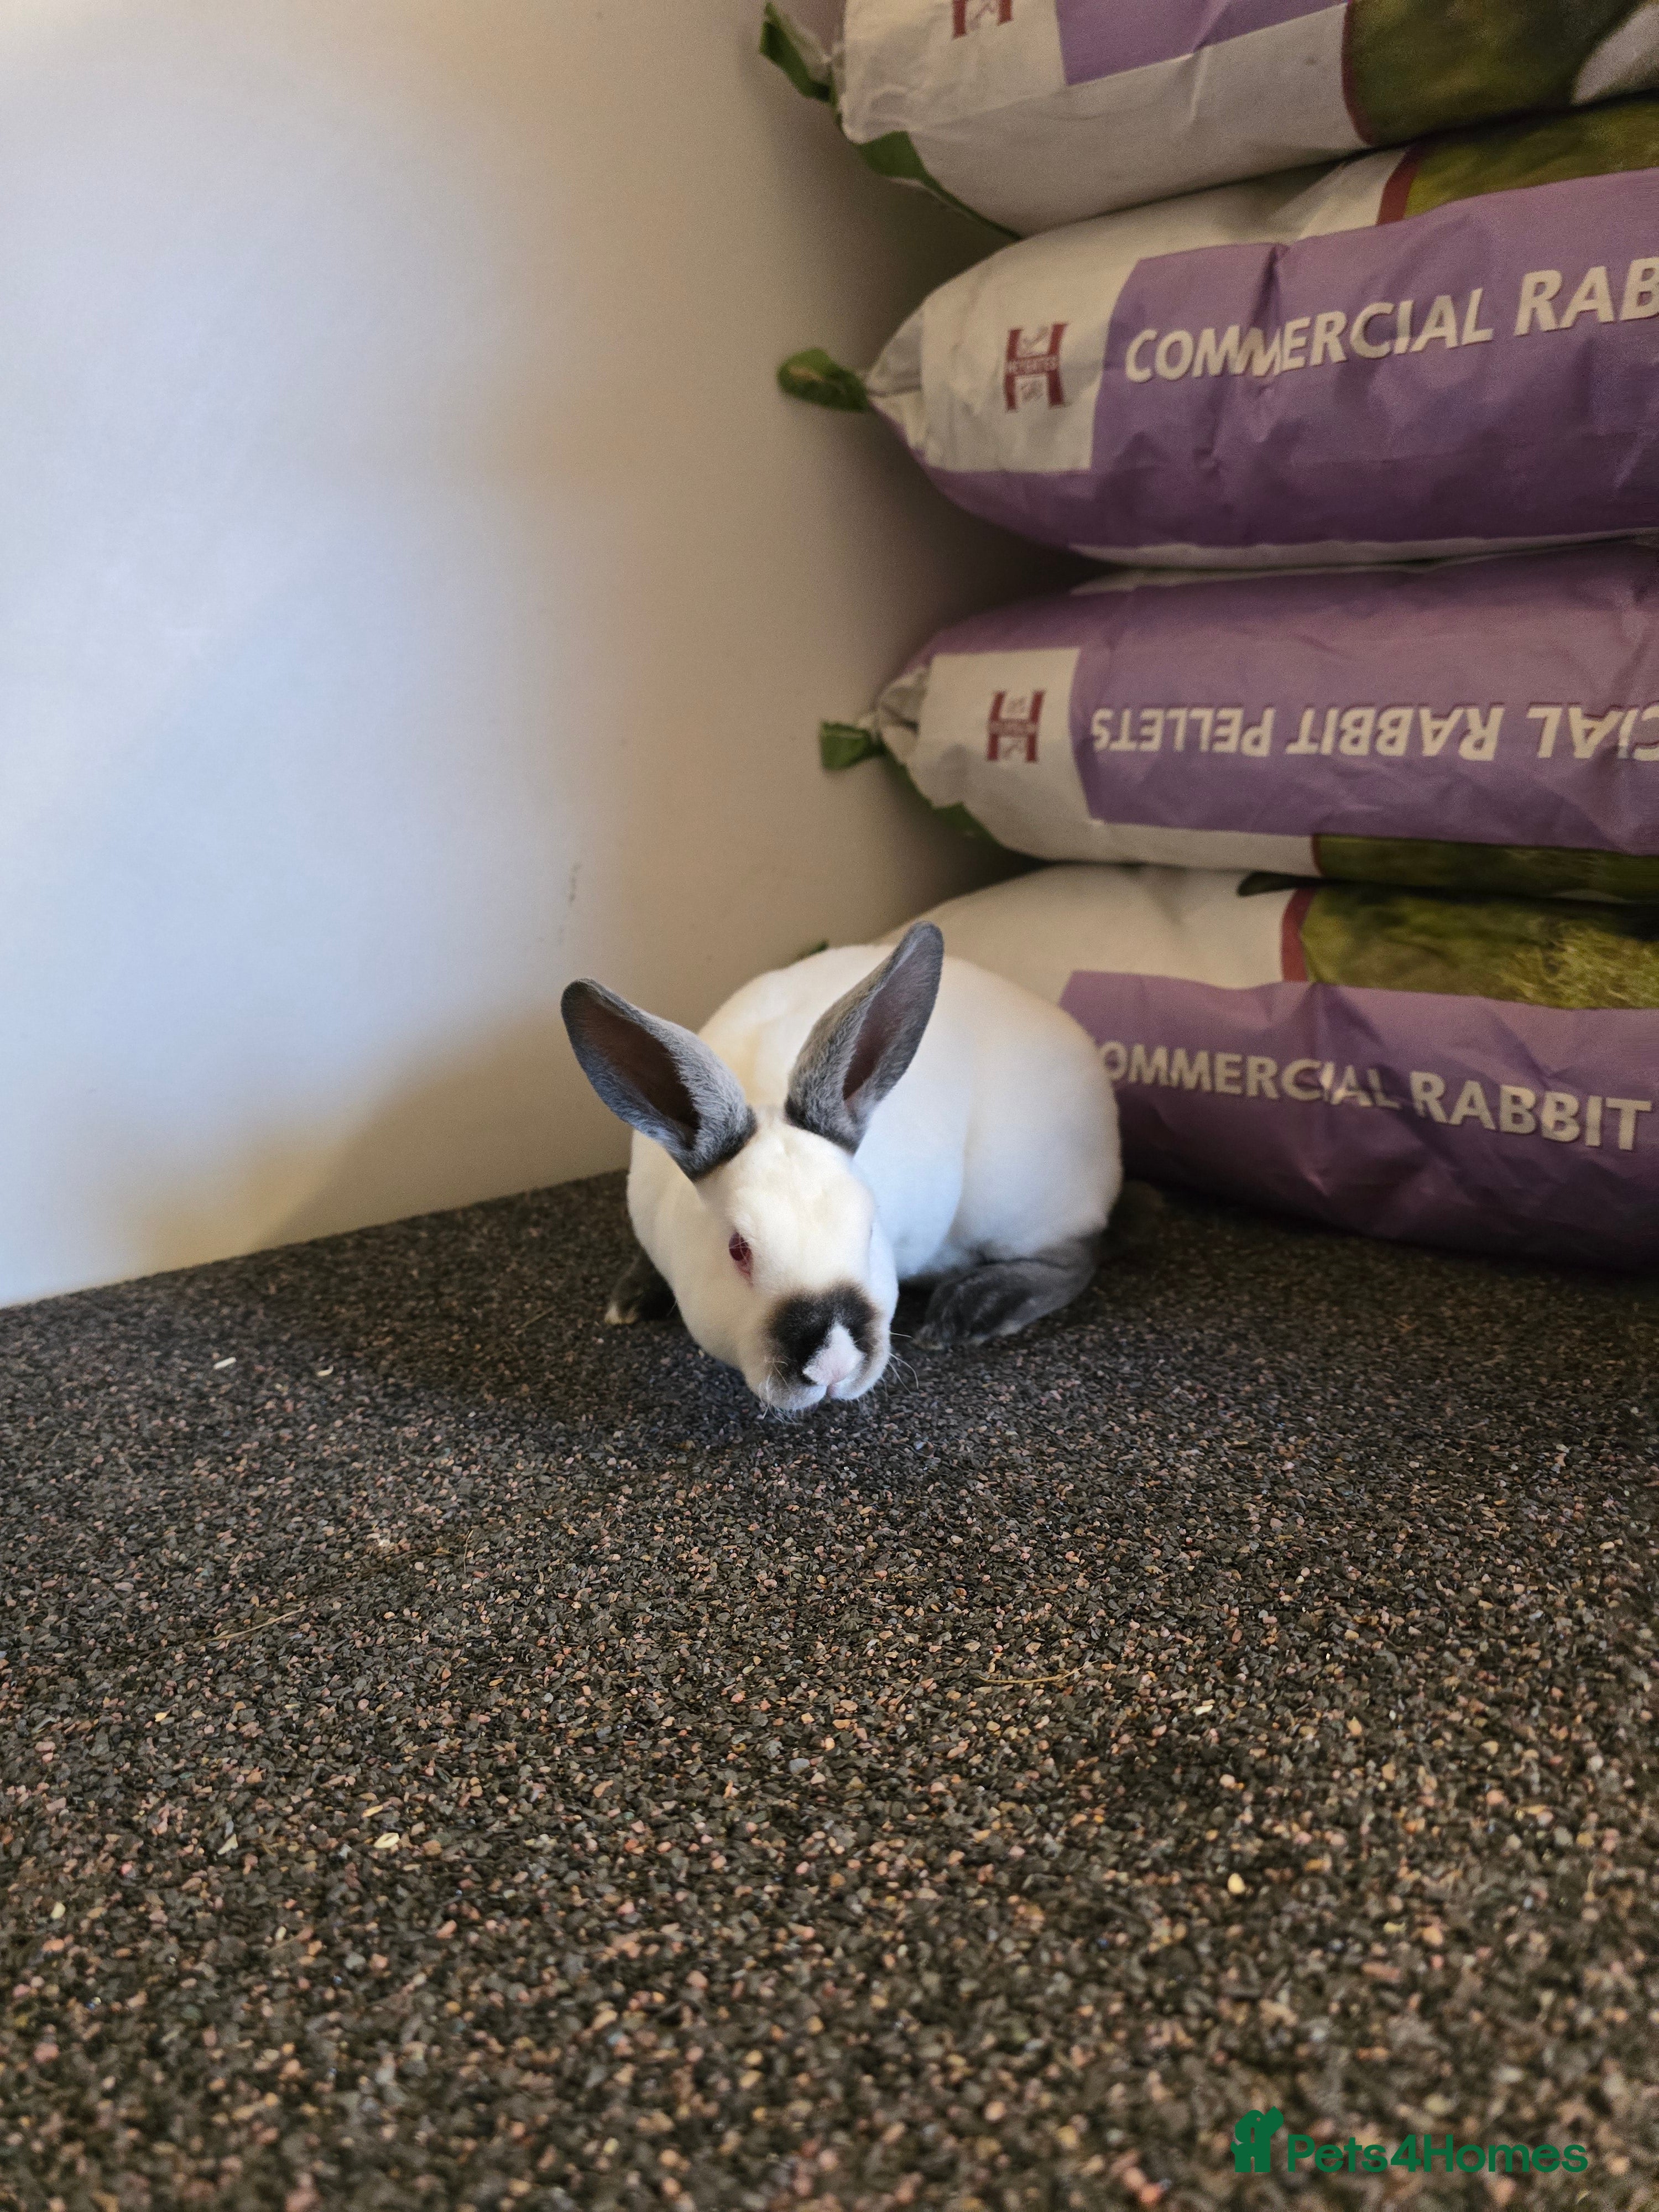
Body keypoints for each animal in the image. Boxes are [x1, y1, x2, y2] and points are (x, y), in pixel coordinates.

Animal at [561, 921, 1121, 1411]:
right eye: (738, 1250)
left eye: (870, 1229)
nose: (832, 1365)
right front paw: (629, 1299)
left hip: (1018, 1208)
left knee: (1078, 1258)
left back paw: (972, 1308)